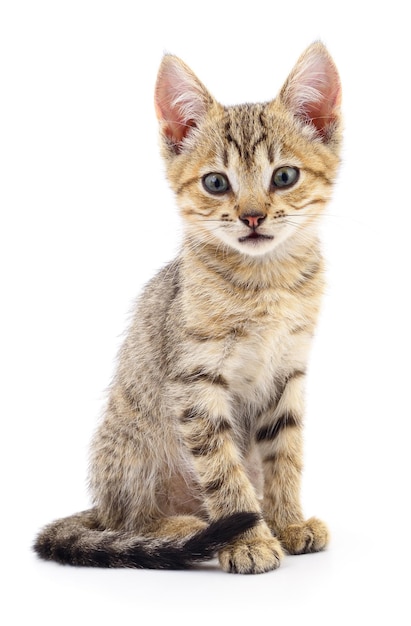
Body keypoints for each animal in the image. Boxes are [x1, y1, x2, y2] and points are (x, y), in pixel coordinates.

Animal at [34, 41, 342, 572]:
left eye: (284, 176)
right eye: (216, 183)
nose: (252, 216)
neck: (266, 283)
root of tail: (99, 505)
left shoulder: (288, 373)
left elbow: (285, 456)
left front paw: (287, 522)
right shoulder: (196, 383)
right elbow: (222, 470)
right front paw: (247, 539)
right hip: (134, 453)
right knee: (129, 523)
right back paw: (185, 528)